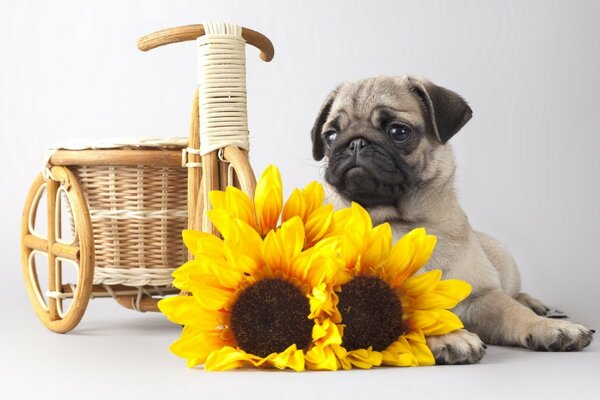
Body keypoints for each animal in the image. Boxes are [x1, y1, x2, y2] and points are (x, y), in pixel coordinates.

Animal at [312, 76, 592, 366]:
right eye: (330, 136)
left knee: (514, 295)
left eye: (398, 132)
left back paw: (537, 306)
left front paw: (547, 327)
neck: (402, 222)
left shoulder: (482, 295)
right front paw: (449, 335)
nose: (355, 142)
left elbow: (513, 311)